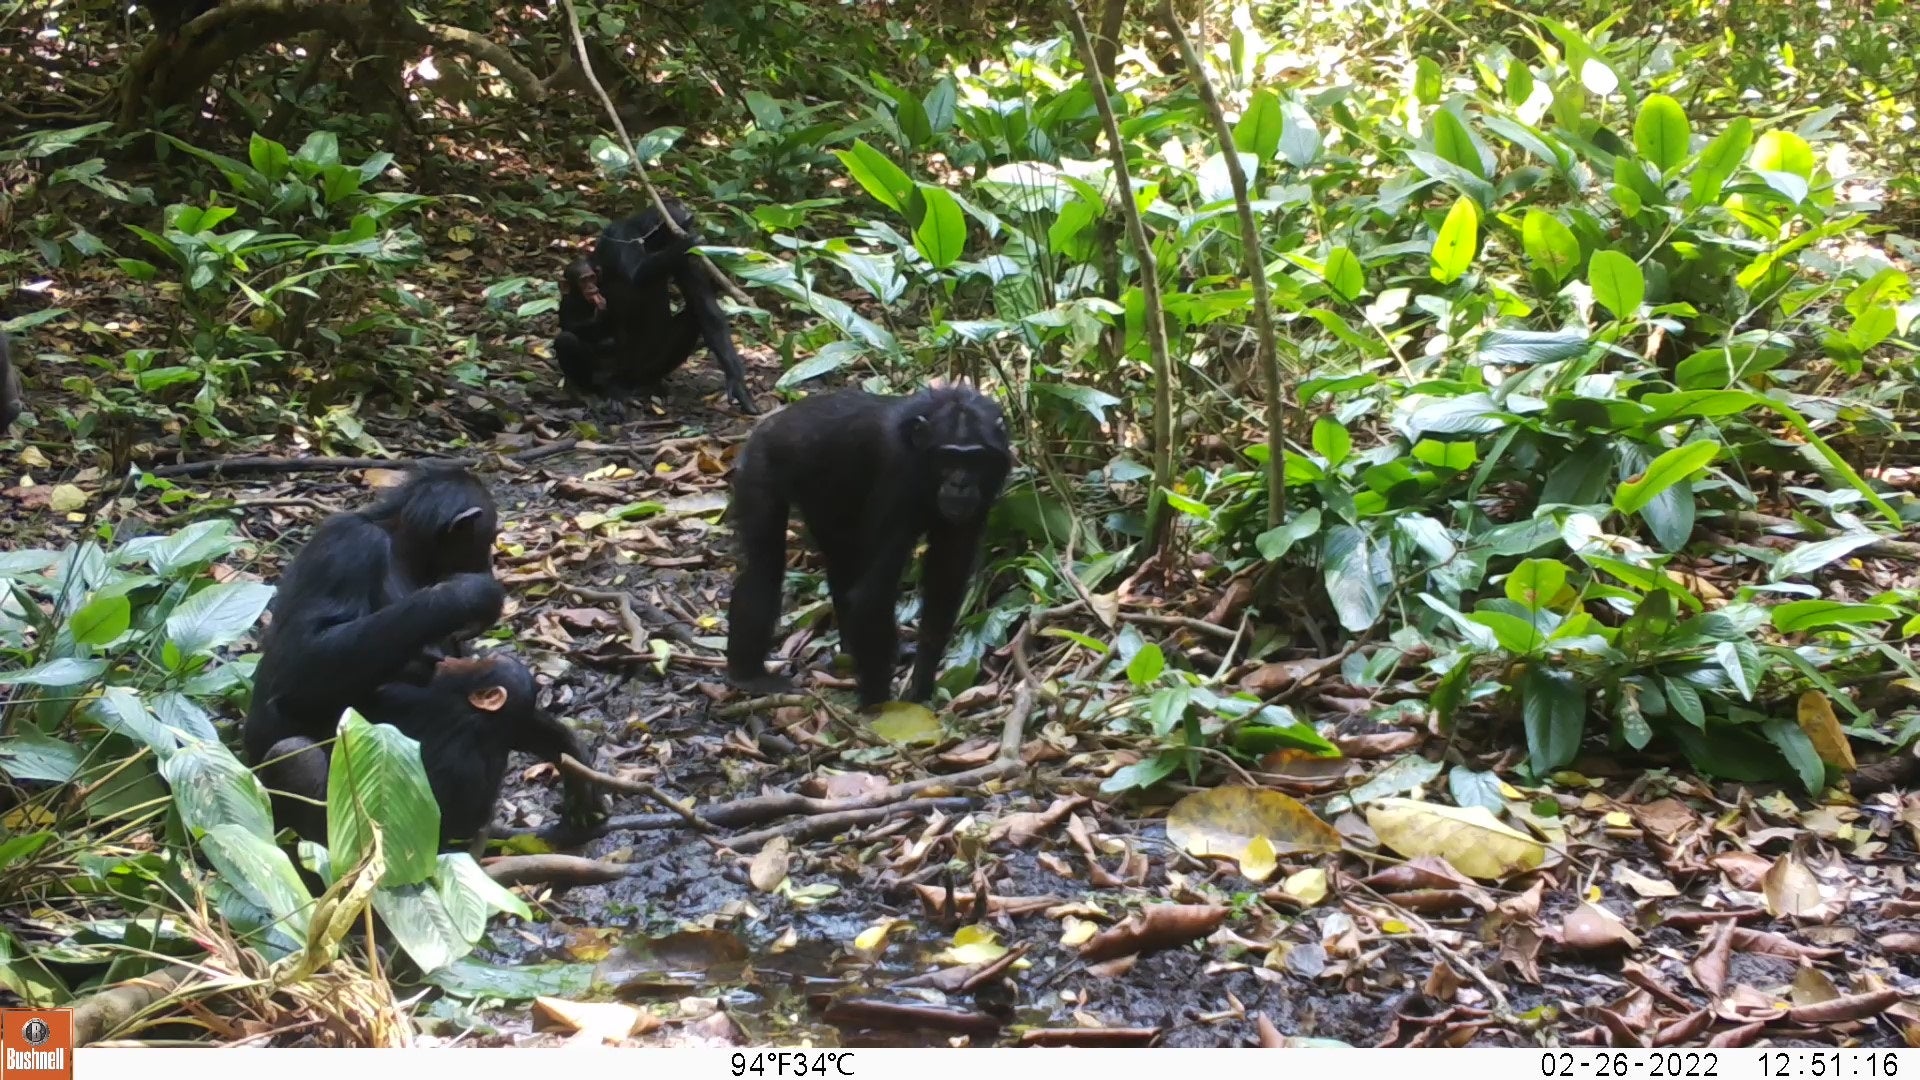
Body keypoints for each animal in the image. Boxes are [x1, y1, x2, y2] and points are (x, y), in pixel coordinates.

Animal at [241, 463, 599, 849]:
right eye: (488, 539)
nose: (490, 562)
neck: (405, 552)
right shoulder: (347, 548)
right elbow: (302, 663)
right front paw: (470, 593)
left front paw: (571, 756)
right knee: (296, 757)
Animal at [552, 201, 760, 417]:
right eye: (684, 225)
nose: (691, 231)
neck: (649, 240)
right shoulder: (621, 234)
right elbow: (635, 272)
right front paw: (691, 242)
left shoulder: (686, 262)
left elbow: (705, 306)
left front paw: (738, 384)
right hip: (608, 368)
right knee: (567, 341)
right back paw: (607, 391)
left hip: (647, 366)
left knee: (692, 318)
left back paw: (649, 385)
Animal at [721, 380, 1021, 707]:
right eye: (949, 458)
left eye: (974, 459)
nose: (961, 483)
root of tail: (767, 423)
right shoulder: (898, 482)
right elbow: (873, 595)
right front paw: (881, 706)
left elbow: (946, 578)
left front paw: (922, 684)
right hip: (759, 469)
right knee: (764, 567)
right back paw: (749, 674)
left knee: (841, 559)